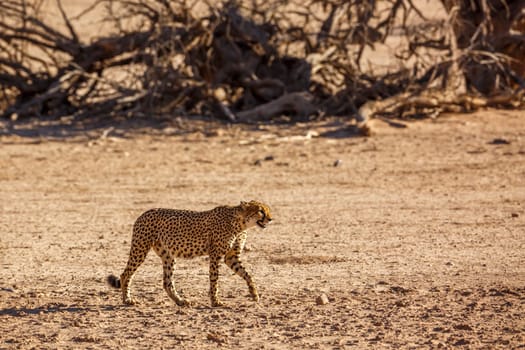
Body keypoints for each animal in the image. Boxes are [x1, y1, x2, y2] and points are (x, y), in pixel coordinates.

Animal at [106, 201, 270, 308]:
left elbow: (247, 274)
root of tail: (144, 213)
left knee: (167, 282)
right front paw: (216, 302)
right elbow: (214, 280)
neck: (241, 223)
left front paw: (254, 294)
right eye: (261, 211)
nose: (270, 219)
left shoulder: (231, 257)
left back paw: (181, 301)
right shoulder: (215, 255)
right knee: (125, 274)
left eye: (268, 210)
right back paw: (127, 300)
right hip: (140, 248)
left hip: (168, 256)